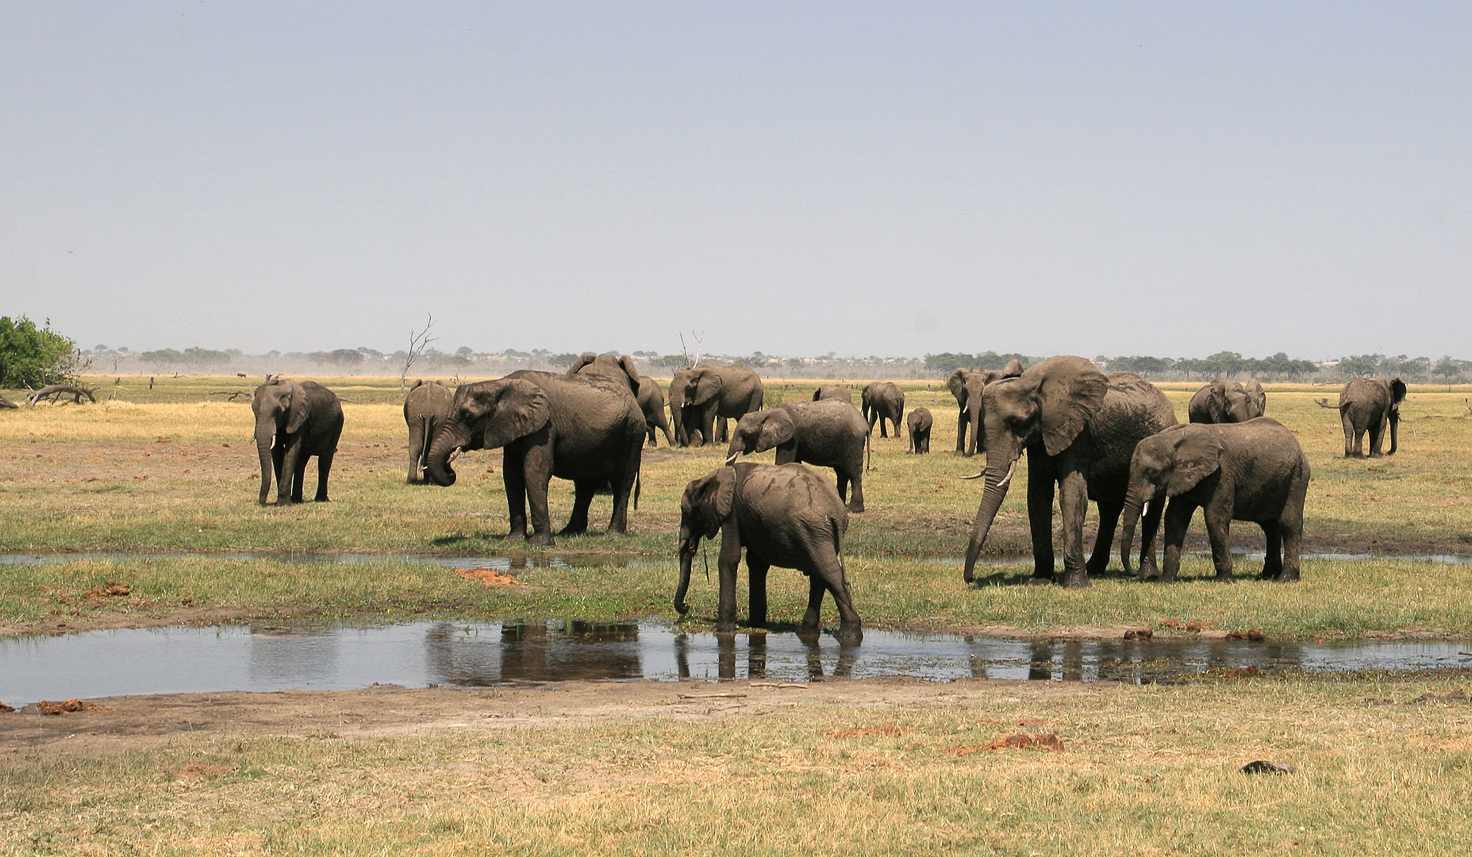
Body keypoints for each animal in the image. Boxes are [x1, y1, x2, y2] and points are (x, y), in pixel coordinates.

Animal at [429, 371, 650, 547]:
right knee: (584, 484)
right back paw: (569, 532)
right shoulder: (514, 428)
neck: (500, 384)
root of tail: (633, 400)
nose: (450, 469)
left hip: (632, 432)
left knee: (622, 482)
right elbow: (511, 476)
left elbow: (534, 473)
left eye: (468, 416)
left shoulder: (544, 427)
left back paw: (612, 535)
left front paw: (539, 544)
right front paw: (514, 540)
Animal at [674, 462, 859, 644]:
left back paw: (848, 635)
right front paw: (756, 624)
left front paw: (722, 630)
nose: (686, 606)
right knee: (819, 573)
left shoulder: (732, 512)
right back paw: (807, 632)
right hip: (821, 532)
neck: (708, 478)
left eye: (685, 510)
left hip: (813, 529)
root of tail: (836, 510)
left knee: (827, 572)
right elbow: (756, 563)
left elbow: (729, 558)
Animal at [721, 400, 865, 515]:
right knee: (841, 473)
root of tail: (864, 424)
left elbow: (784, 461)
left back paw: (853, 510)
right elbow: (795, 462)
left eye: (746, 433)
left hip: (853, 442)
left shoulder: (792, 437)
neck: (768, 413)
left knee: (853, 473)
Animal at [959, 357, 1177, 591]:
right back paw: (1095, 569)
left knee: (1151, 508)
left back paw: (1147, 575)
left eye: (1018, 422)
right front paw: (1040, 581)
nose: (970, 578)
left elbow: (1072, 495)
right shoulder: (1041, 435)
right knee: (1109, 509)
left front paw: (1075, 585)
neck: (1036, 385)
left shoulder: (1079, 432)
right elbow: (1038, 496)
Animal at [1112, 421, 1313, 583]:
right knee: (1270, 527)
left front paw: (1224, 581)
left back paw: (1285, 579)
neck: (1174, 438)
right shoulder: (1182, 477)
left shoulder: (1222, 474)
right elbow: (1175, 518)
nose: (1134, 573)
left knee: (1288, 524)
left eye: (1153, 473)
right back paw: (1266, 576)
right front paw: (1165, 581)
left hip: (1297, 476)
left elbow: (1215, 518)